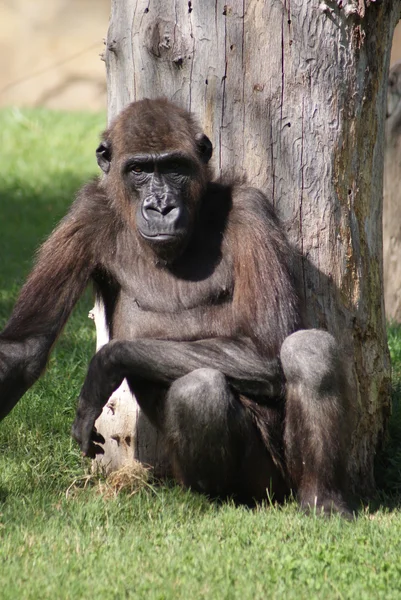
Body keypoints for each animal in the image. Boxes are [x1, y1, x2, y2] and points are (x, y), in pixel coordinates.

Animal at [0, 98, 352, 516]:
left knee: (306, 349)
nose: (161, 206)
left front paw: (104, 366)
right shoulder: (85, 215)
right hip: (243, 483)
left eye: (174, 168)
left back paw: (321, 498)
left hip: (282, 478)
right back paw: (221, 498)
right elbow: (25, 348)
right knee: (200, 390)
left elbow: (268, 344)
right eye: (138, 170)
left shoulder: (249, 208)